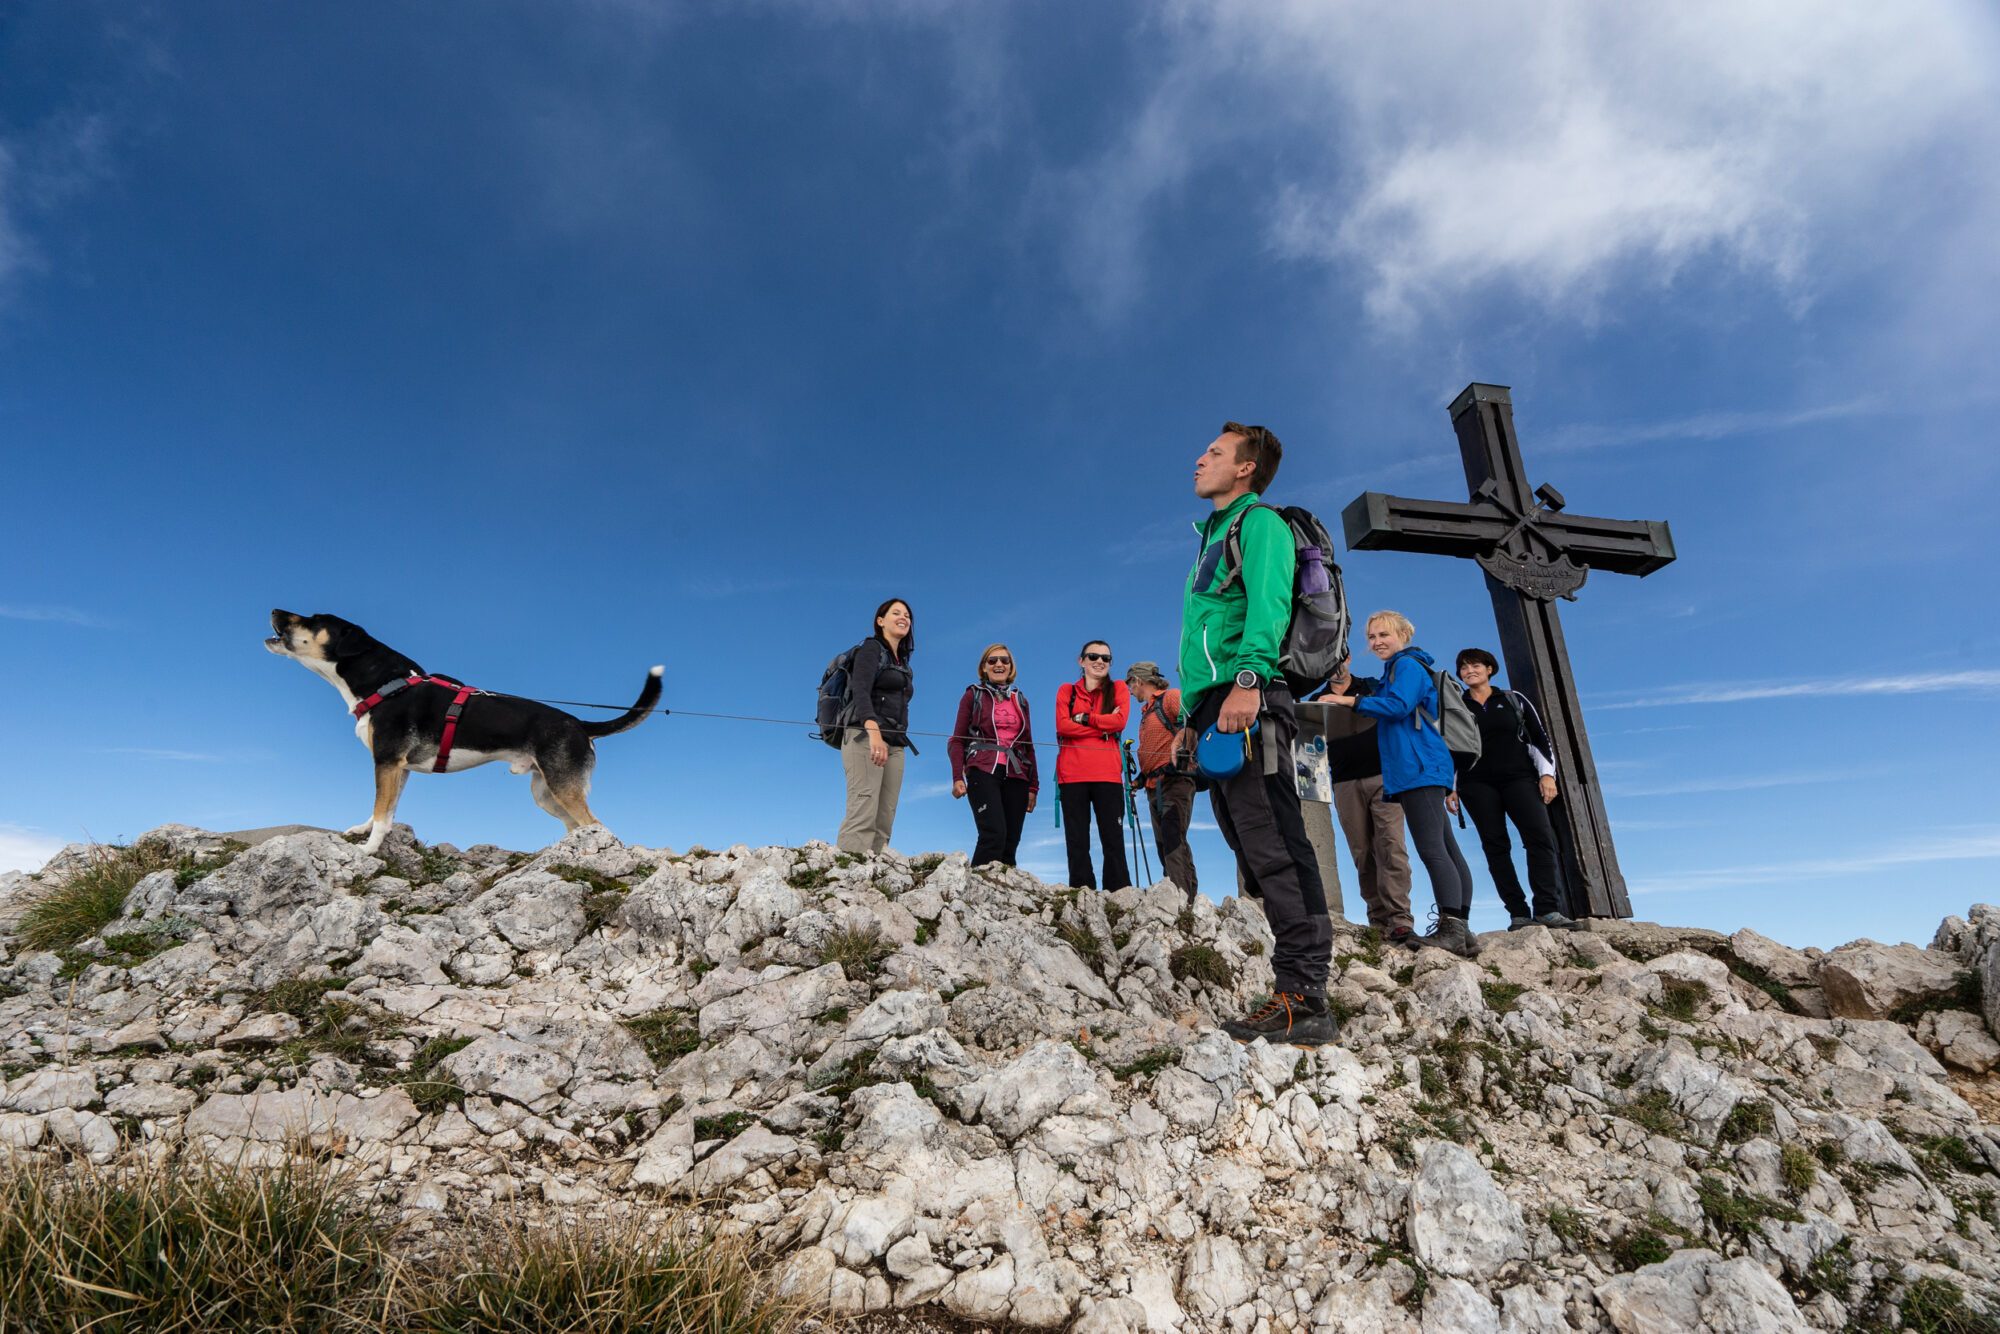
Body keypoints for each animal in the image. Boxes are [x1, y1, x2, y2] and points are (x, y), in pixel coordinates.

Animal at [258, 608, 660, 852]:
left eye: (312, 619)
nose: (274, 609)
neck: (385, 683)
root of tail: (580, 723)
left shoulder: (386, 760)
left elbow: (382, 812)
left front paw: (369, 849)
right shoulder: (398, 768)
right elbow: (383, 810)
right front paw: (361, 830)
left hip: (562, 787)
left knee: (597, 824)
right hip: (545, 793)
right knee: (579, 826)